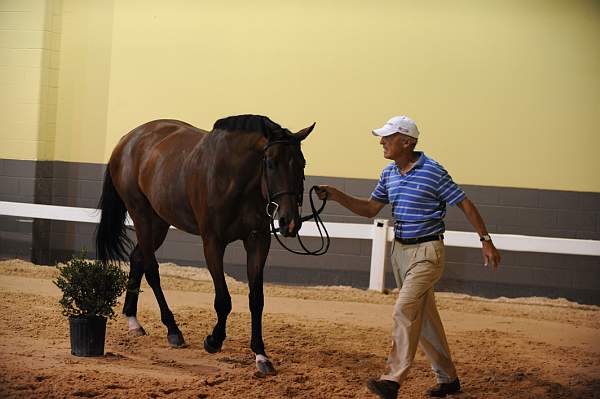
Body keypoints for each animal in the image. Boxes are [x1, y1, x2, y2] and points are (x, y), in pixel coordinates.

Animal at [95, 115, 314, 376]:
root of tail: (128, 140)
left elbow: (256, 300)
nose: (289, 222)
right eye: (270, 163)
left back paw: (133, 321)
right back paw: (173, 330)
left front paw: (261, 355)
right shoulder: (213, 242)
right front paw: (214, 340)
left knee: (137, 258)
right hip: (142, 216)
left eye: (302, 163)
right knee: (151, 269)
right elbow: (223, 300)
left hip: (159, 222)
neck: (234, 178)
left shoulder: (258, 241)